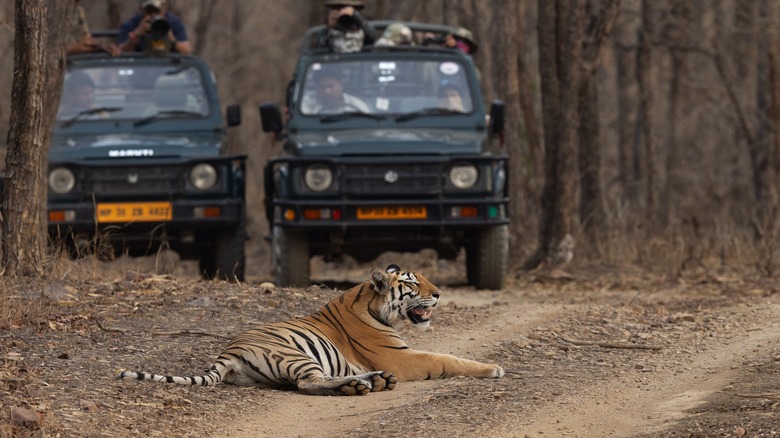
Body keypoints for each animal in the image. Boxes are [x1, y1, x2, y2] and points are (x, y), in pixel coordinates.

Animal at [116, 264, 506, 396]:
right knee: (309, 383)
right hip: (294, 354)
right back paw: (360, 385)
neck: (369, 301)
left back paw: (374, 381)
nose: (438, 294)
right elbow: (447, 358)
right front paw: (494, 368)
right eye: (413, 283)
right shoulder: (404, 359)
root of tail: (227, 353)